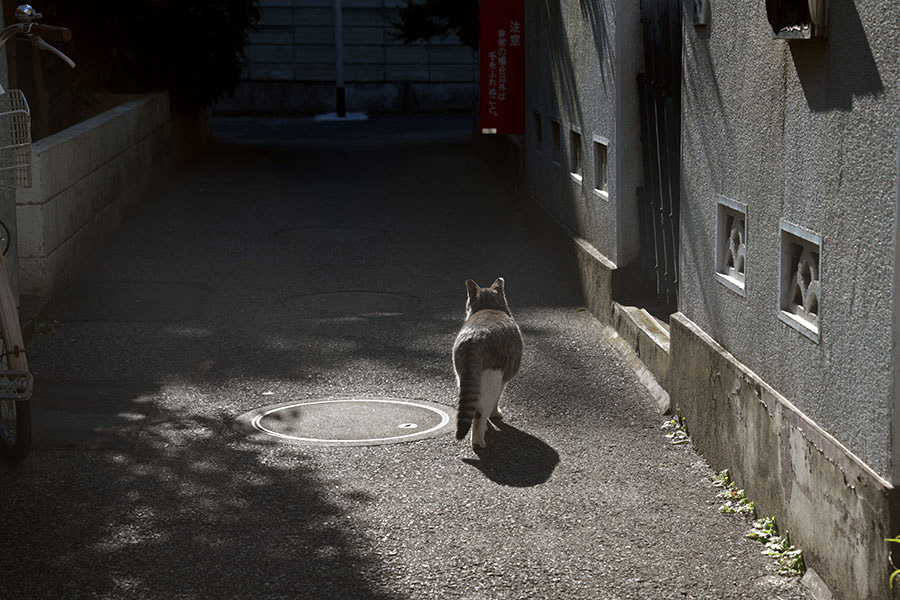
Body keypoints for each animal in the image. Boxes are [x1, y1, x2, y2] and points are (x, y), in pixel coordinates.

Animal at [454, 278, 524, 448]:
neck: (488, 307)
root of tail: (474, 339)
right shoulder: (502, 381)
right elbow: (497, 399)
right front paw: (495, 414)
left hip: (463, 377)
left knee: (472, 408)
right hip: (492, 379)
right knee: (481, 413)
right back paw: (478, 440)